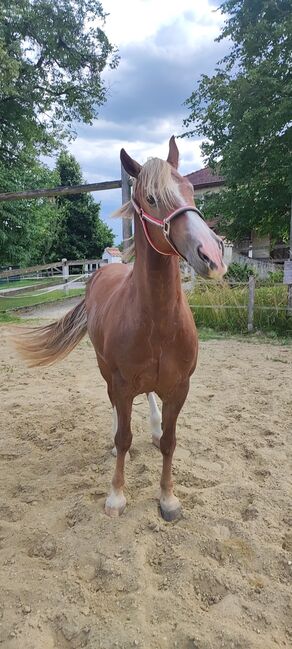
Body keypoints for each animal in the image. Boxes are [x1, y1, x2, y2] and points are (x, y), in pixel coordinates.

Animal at [14, 138, 227, 520]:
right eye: (152, 198)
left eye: (191, 191)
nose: (212, 256)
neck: (157, 322)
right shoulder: (123, 382)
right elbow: (124, 437)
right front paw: (116, 495)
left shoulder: (180, 388)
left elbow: (170, 441)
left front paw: (168, 498)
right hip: (105, 369)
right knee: (114, 404)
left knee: (150, 400)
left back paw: (153, 427)